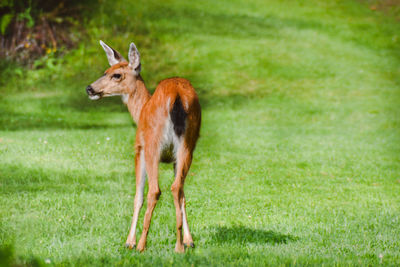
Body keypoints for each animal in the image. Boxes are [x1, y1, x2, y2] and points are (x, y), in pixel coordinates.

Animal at [86, 40, 202, 253]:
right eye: (106, 71)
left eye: (116, 74)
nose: (89, 88)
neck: (140, 110)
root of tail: (177, 96)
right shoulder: (175, 157)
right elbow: (182, 195)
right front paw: (189, 240)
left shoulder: (139, 149)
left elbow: (137, 197)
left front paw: (129, 241)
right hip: (187, 145)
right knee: (177, 188)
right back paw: (179, 246)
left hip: (153, 145)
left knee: (155, 191)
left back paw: (141, 244)